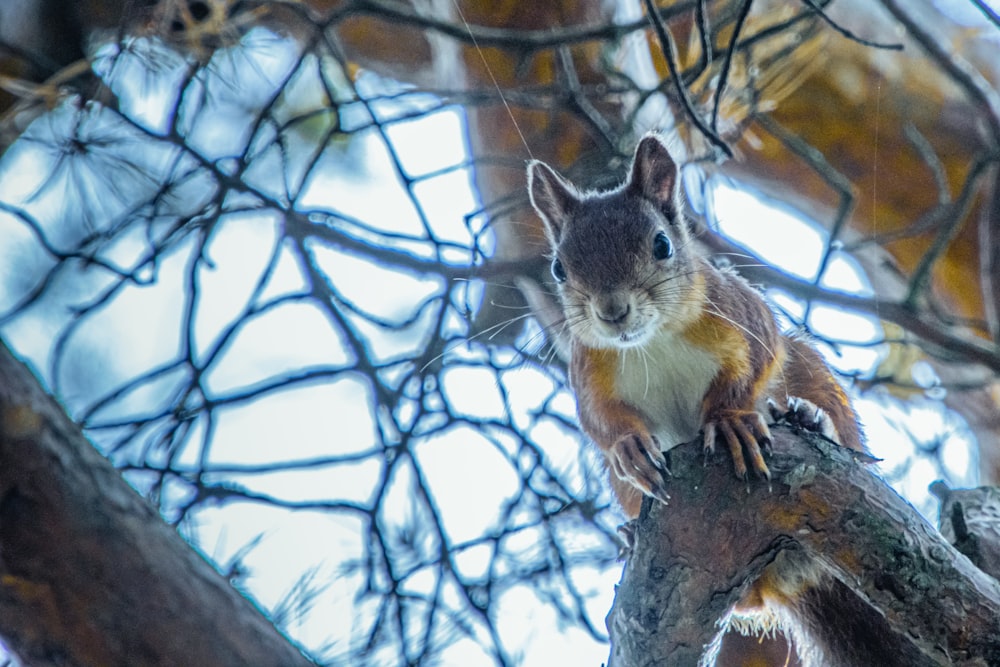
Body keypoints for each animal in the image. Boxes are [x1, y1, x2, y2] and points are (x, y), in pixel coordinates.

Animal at [528, 134, 916, 667]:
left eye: (662, 245)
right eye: (558, 267)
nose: (612, 311)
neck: (652, 343)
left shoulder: (742, 316)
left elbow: (754, 364)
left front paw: (730, 419)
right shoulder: (588, 371)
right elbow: (599, 422)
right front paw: (629, 447)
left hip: (812, 372)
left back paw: (810, 419)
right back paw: (630, 535)